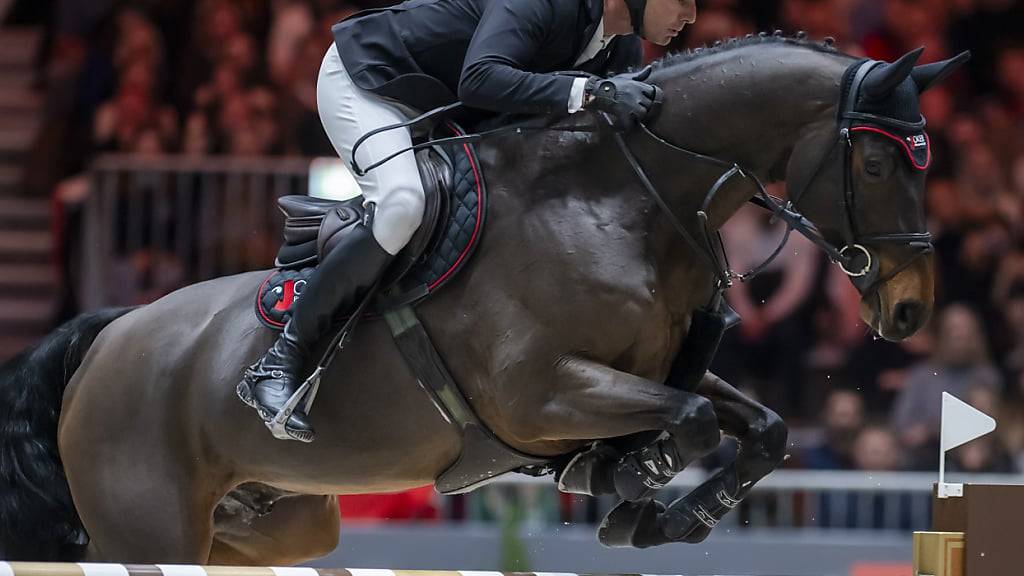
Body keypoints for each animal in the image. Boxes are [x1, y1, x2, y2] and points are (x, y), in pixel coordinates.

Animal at [2, 36, 966, 565]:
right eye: (876, 163)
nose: (910, 311)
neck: (622, 199)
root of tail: (106, 339)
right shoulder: (540, 395)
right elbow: (688, 422)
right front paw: (630, 484)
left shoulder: (651, 371)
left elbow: (758, 426)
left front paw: (657, 509)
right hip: (152, 529)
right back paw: (276, 389)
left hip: (274, 527)